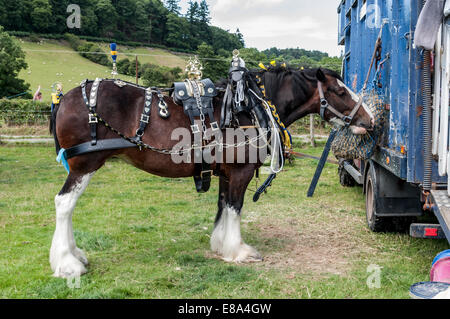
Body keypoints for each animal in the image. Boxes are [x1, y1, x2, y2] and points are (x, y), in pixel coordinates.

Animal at [49, 66, 374, 278]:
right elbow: (235, 208)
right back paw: (67, 263)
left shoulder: (226, 173)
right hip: (85, 165)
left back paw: (75, 255)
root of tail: (65, 98)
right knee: (64, 204)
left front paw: (220, 245)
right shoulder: (241, 172)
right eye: (339, 90)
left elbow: (222, 206)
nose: (369, 120)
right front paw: (238, 250)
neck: (247, 107)